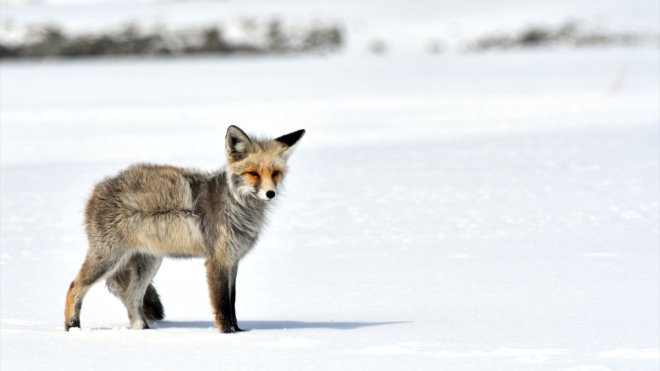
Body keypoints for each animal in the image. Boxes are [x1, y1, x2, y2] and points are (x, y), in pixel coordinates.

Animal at [63, 125, 306, 334]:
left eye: (275, 173)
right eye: (253, 173)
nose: (270, 193)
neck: (237, 206)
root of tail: (97, 189)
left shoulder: (233, 261)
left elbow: (232, 302)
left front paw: (240, 331)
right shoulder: (218, 260)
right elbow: (223, 306)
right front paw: (229, 334)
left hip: (149, 263)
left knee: (132, 298)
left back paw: (143, 330)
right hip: (108, 258)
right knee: (74, 286)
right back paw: (72, 327)